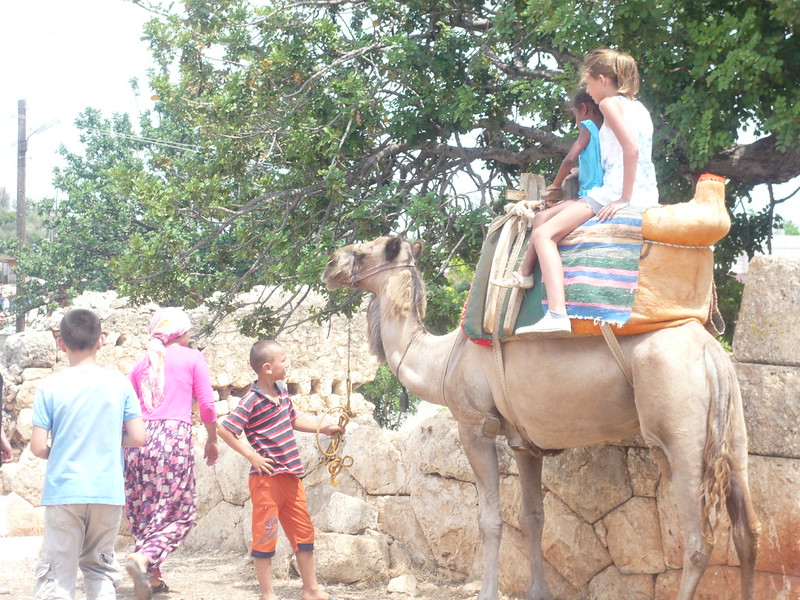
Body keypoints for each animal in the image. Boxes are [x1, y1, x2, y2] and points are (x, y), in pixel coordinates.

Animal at [322, 235, 760, 600]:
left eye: (364, 251)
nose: (330, 265)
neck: (441, 359)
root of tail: (712, 353)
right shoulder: (524, 443)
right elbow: (533, 516)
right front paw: (538, 592)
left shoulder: (474, 425)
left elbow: (490, 519)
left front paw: (488, 593)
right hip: (732, 433)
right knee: (748, 531)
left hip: (681, 432)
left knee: (699, 541)